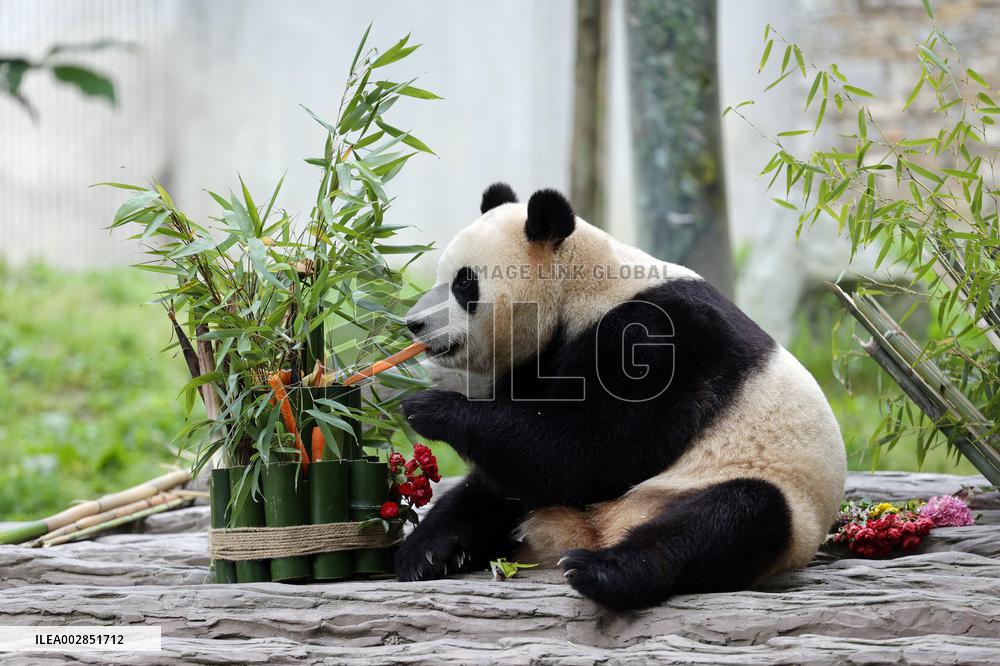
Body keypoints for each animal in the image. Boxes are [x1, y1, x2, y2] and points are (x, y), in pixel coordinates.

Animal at [397, 183, 846, 611]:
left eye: (464, 283)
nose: (414, 324)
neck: (581, 289)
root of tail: (598, 529)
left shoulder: (656, 338)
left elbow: (590, 452)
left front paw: (429, 407)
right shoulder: (541, 361)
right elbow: (532, 454)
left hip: (763, 493)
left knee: (732, 518)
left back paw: (601, 572)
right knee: (489, 491)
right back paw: (427, 552)